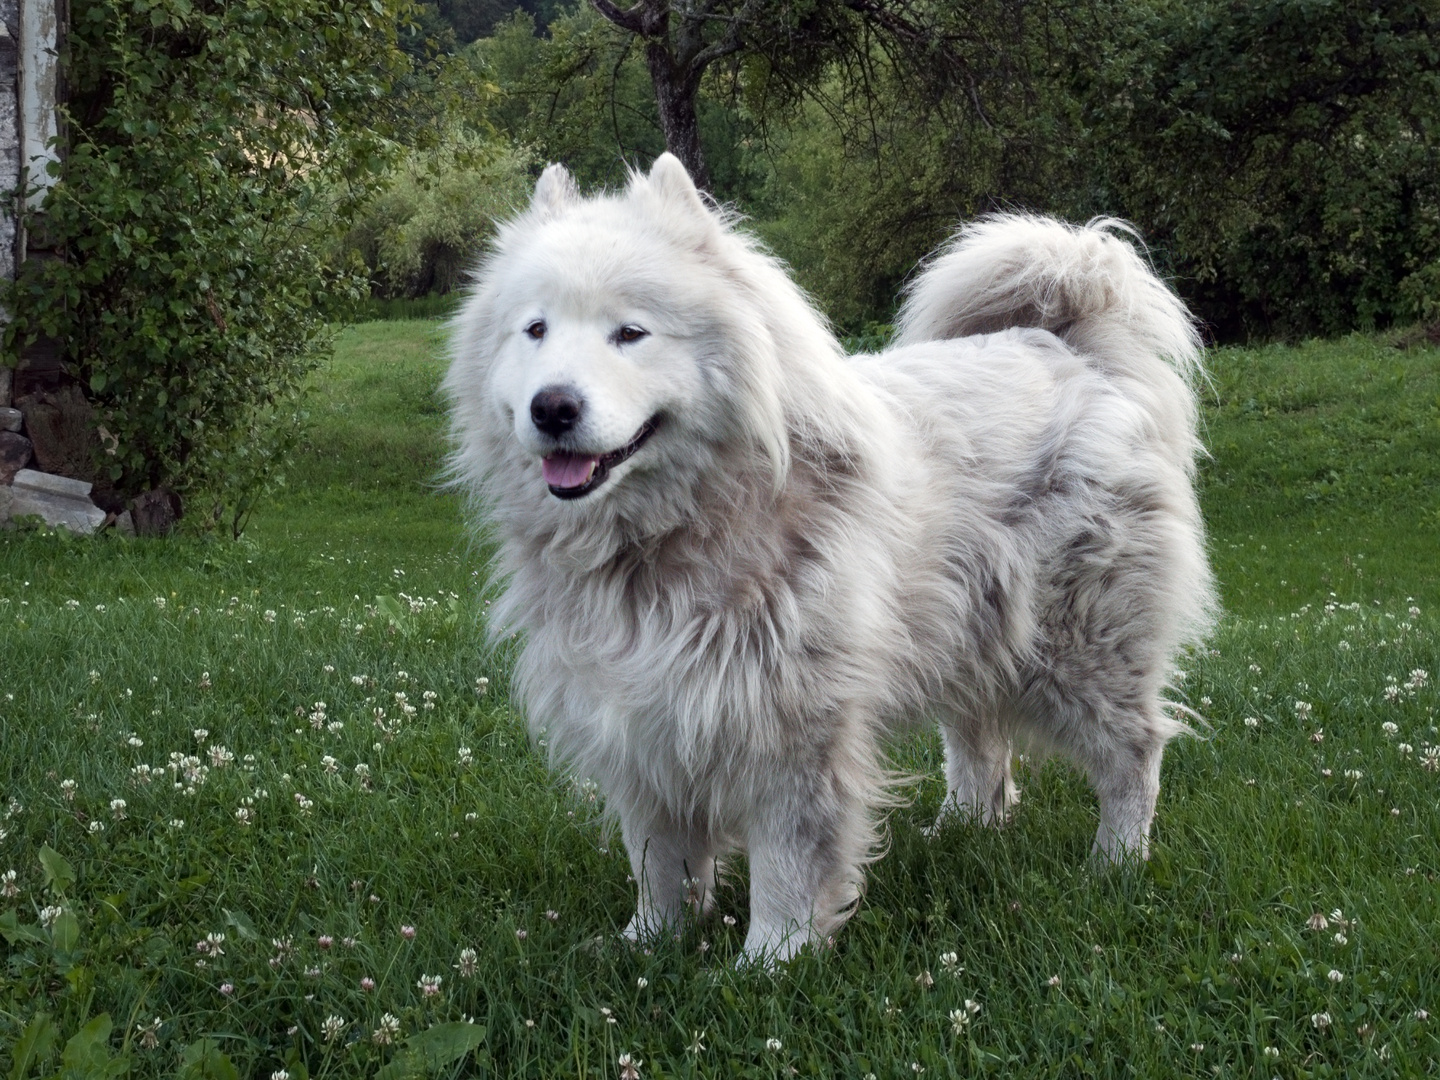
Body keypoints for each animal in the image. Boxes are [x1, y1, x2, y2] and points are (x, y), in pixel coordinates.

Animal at [446, 152, 1215, 961]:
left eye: (631, 333)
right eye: (535, 330)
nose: (553, 407)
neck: (666, 538)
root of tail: (1072, 351)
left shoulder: (791, 730)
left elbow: (787, 867)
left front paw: (768, 963)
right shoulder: (644, 717)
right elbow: (659, 860)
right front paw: (648, 945)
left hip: (1081, 649)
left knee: (1133, 753)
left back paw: (1115, 865)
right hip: (968, 634)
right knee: (981, 750)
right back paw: (959, 830)